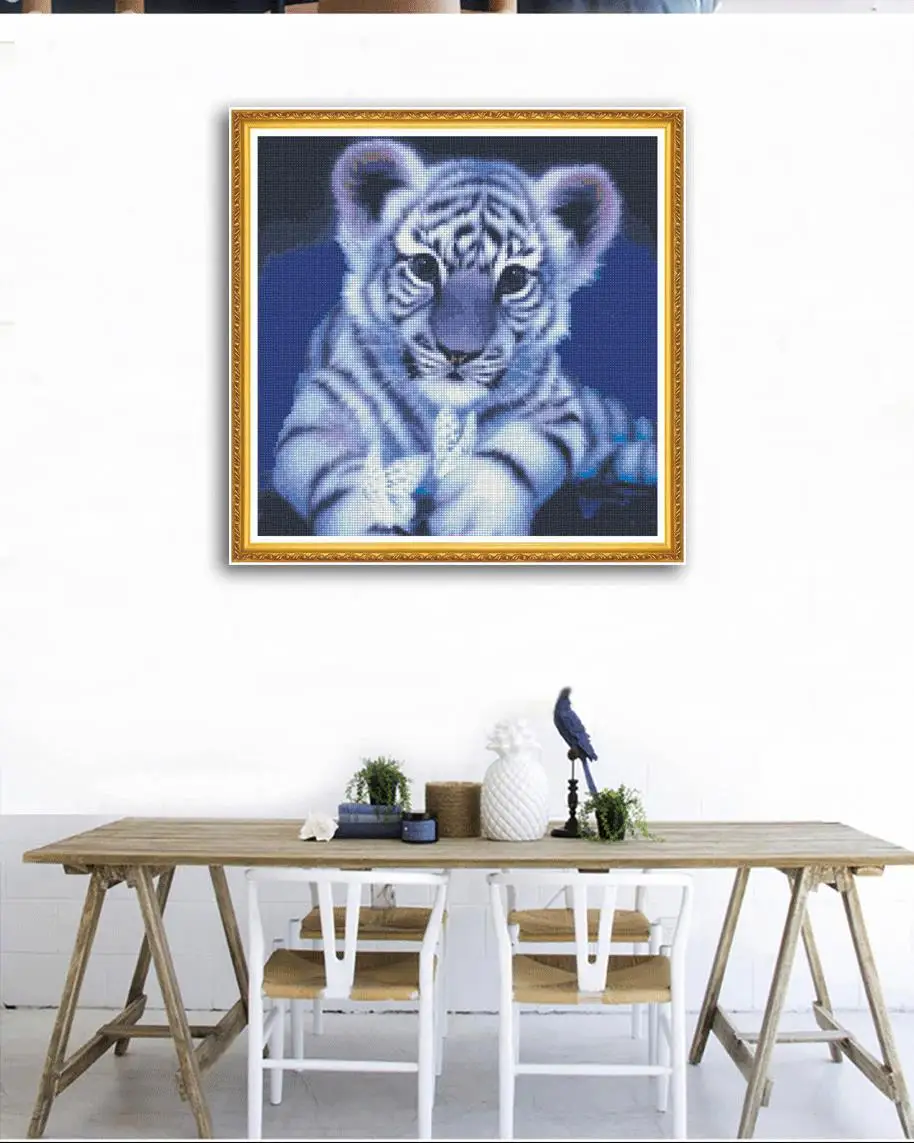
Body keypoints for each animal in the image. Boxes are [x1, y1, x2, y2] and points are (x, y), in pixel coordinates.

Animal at [273, 139, 656, 537]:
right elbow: (351, 476)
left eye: (514, 278)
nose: (458, 352)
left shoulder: (557, 410)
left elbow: (515, 455)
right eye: (424, 266)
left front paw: (475, 519)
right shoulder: (318, 415)